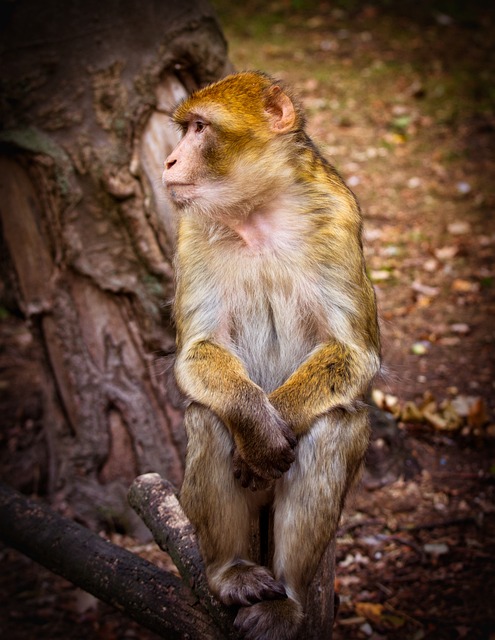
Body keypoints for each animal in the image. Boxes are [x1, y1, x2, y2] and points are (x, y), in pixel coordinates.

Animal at [162, 71, 380, 640]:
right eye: (184, 129)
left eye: (199, 128)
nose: (168, 161)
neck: (256, 213)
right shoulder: (188, 232)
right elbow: (197, 352)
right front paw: (257, 428)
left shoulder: (338, 215)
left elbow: (354, 353)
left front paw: (272, 424)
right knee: (208, 417)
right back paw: (232, 574)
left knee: (334, 428)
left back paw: (289, 599)